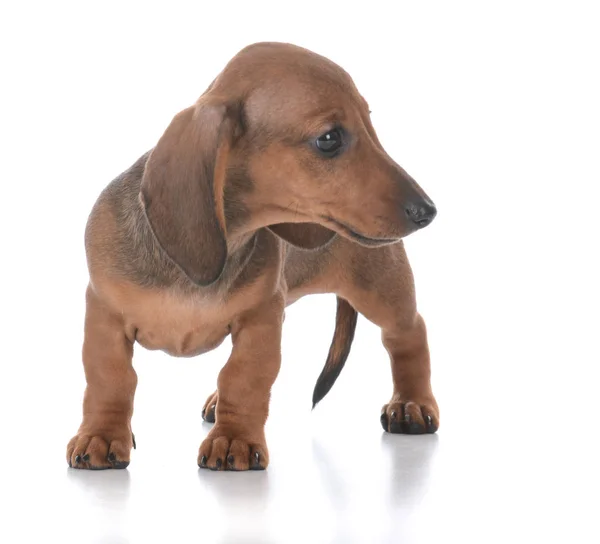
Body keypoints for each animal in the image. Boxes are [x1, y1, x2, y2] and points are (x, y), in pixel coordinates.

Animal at [68, 41, 438, 472]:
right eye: (329, 138)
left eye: (369, 122)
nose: (427, 211)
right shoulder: (104, 313)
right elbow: (111, 379)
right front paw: (100, 435)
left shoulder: (262, 319)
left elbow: (243, 378)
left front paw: (234, 440)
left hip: (381, 289)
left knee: (409, 334)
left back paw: (411, 404)